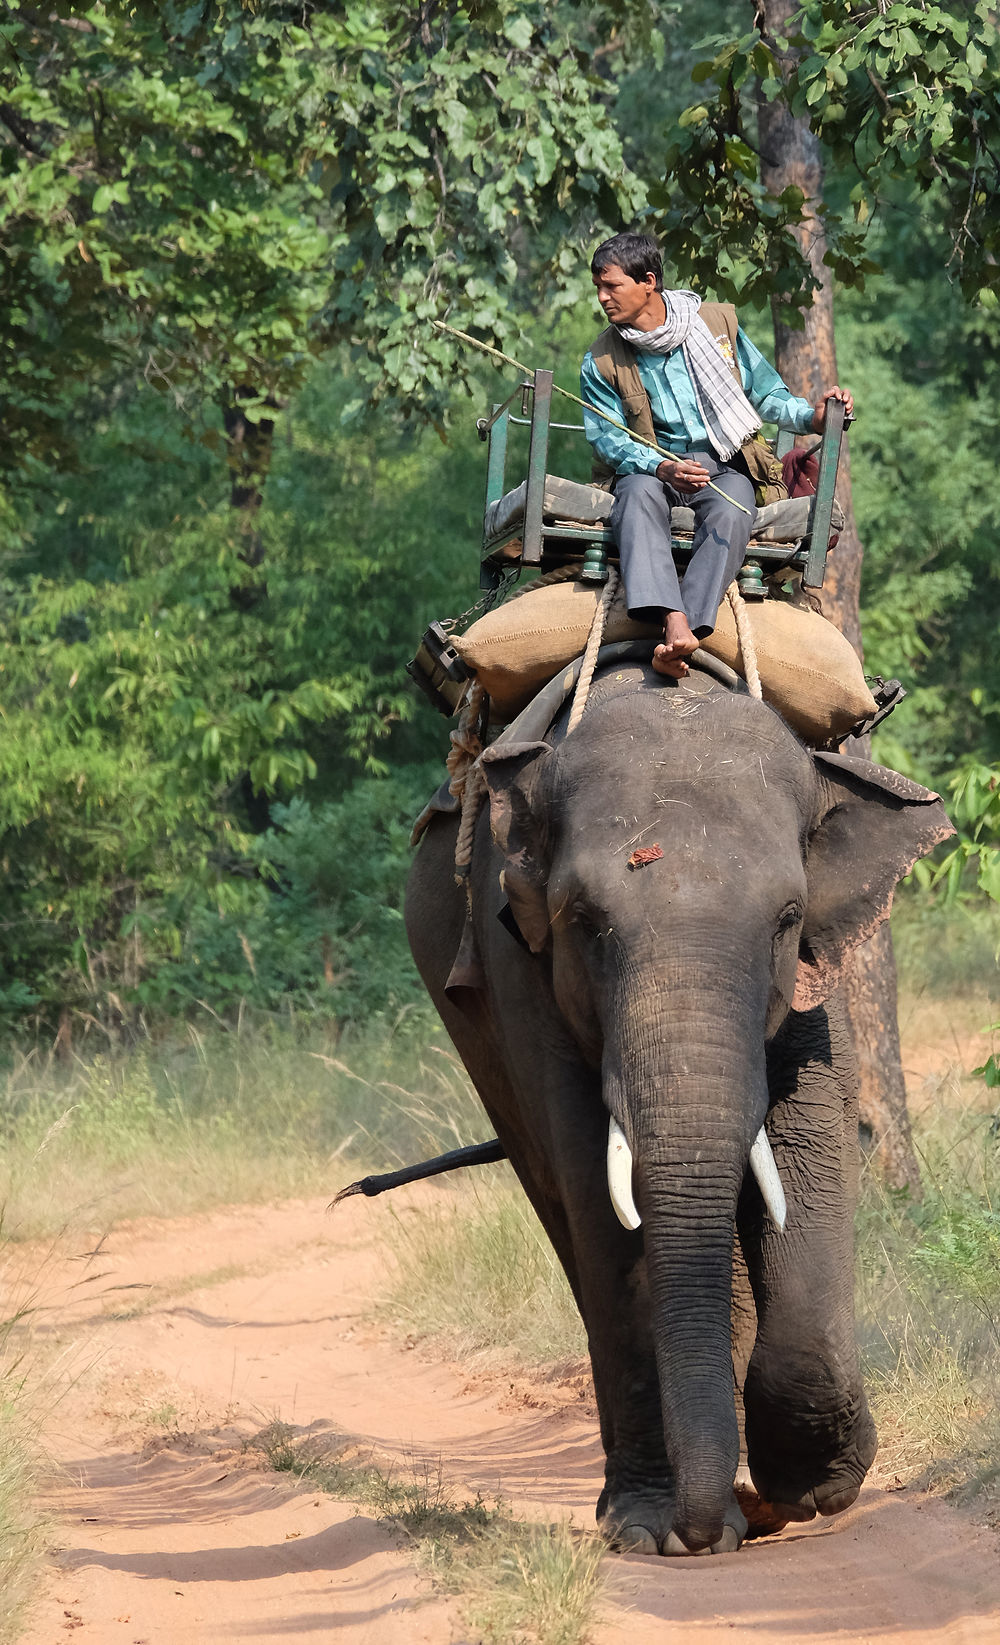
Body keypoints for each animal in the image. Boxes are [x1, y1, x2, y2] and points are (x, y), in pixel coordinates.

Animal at [402, 654, 947, 1552]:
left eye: (788, 916)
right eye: (583, 920)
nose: (699, 1533)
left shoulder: (812, 985)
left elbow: (809, 1153)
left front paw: (811, 1485)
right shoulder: (524, 969)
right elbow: (601, 1194)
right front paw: (656, 1529)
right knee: (559, 1201)